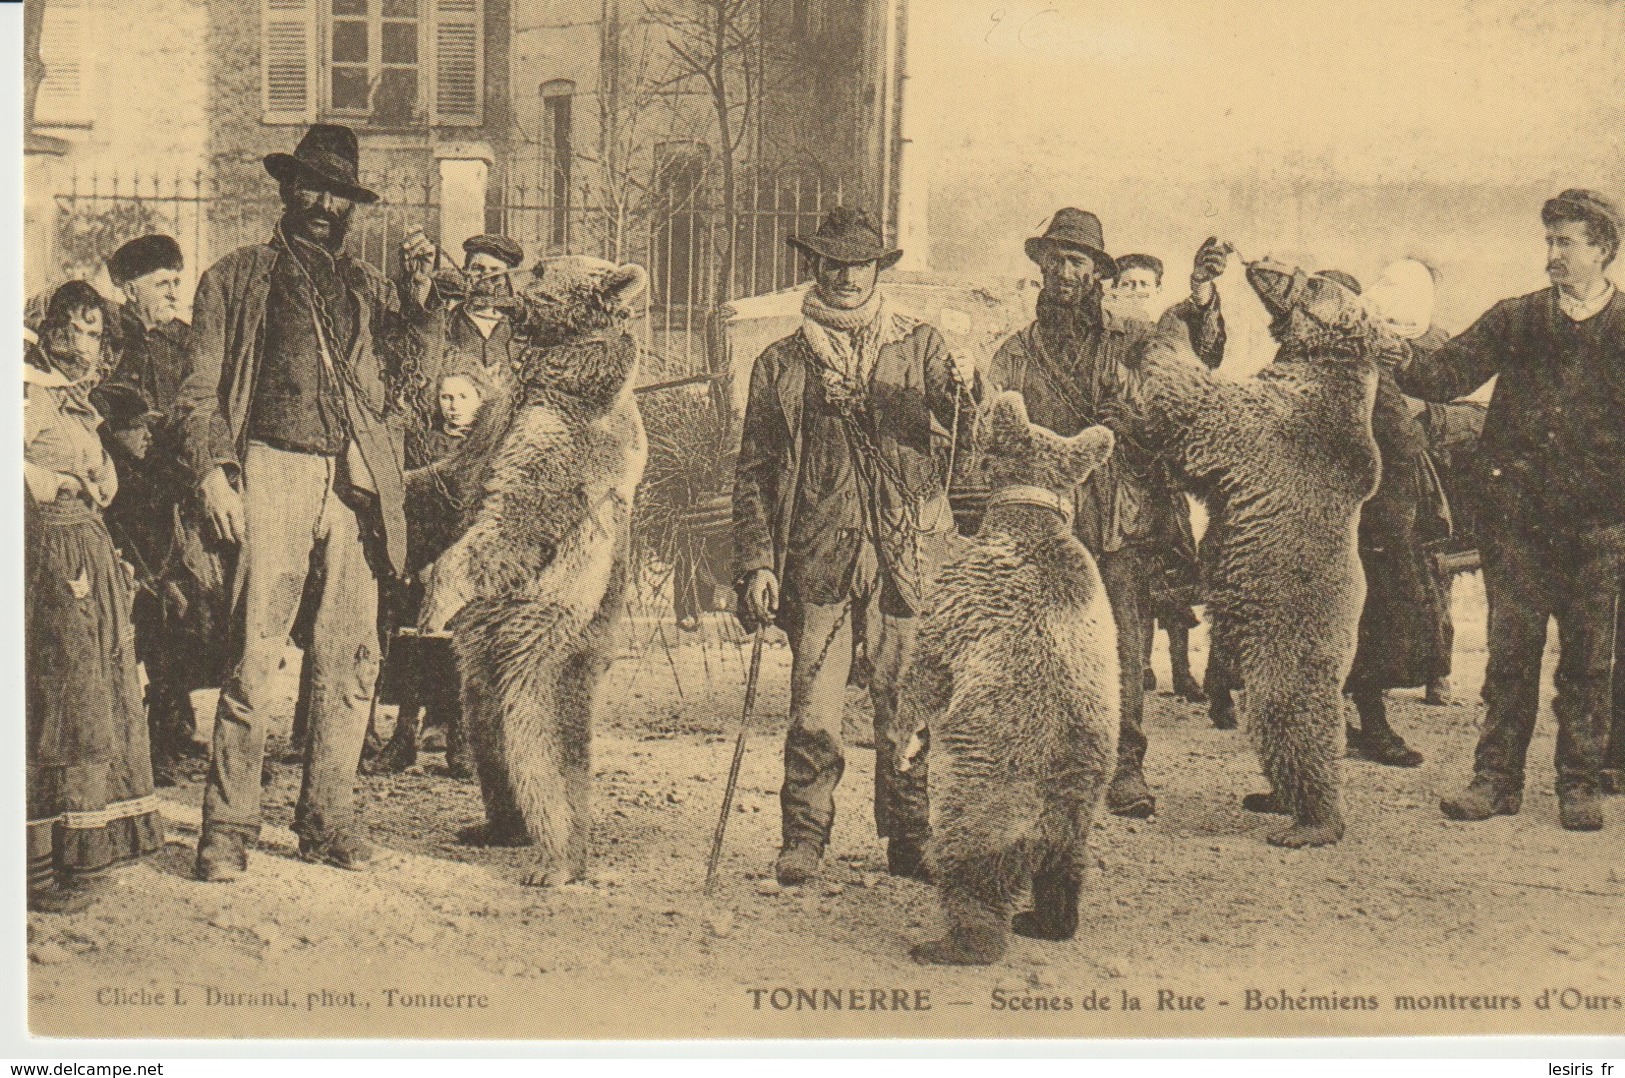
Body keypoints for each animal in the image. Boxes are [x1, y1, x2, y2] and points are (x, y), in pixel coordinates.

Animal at [419, 253, 646, 884]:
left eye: (541, 268)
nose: (491, 280)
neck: (559, 375)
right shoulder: (499, 418)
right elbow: (452, 475)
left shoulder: (559, 439)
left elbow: (512, 516)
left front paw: (433, 593)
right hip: (488, 656)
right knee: (485, 722)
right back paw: (497, 826)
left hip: (543, 636)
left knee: (538, 738)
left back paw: (556, 859)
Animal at [903, 396, 1118, 969]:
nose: (981, 405)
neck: (1028, 516)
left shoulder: (959, 605)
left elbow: (926, 670)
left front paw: (909, 730)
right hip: (1080, 806)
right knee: (1065, 870)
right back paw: (1048, 920)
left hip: (982, 796)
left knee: (970, 869)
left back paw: (954, 943)